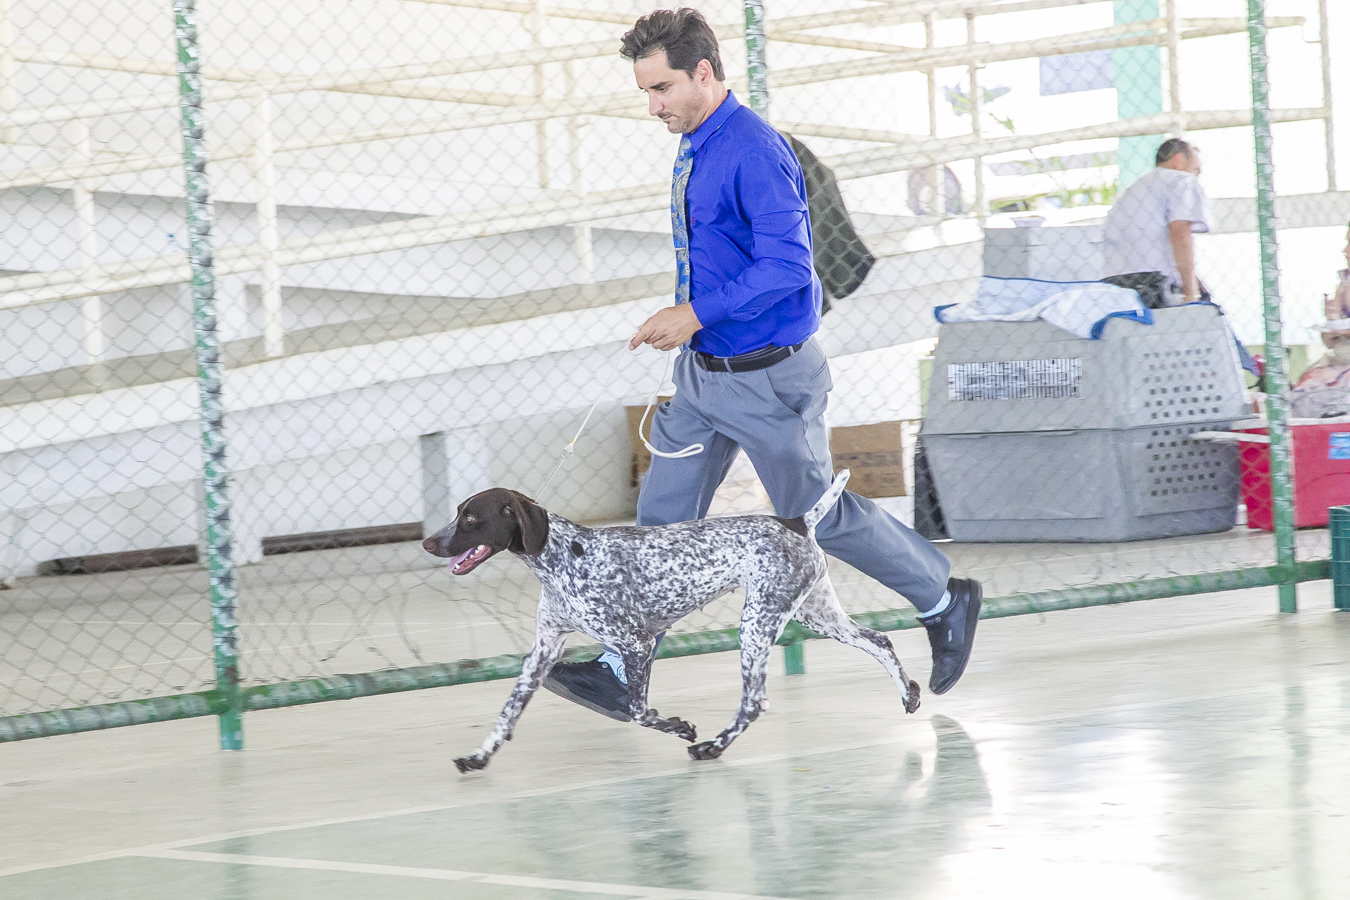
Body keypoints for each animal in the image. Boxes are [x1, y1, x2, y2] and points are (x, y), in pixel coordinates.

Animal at [423, 470, 921, 773]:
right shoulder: (542, 653)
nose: (428, 542)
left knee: (753, 703)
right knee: (880, 641)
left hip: (757, 625)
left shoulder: (636, 642)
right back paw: (910, 695)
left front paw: (681, 727)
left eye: (470, 518)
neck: (563, 557)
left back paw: (711, 747)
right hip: (816, 614)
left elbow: (640, 711)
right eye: (458, 514)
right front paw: (479, 756)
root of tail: (797, 522)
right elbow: (507, 713)